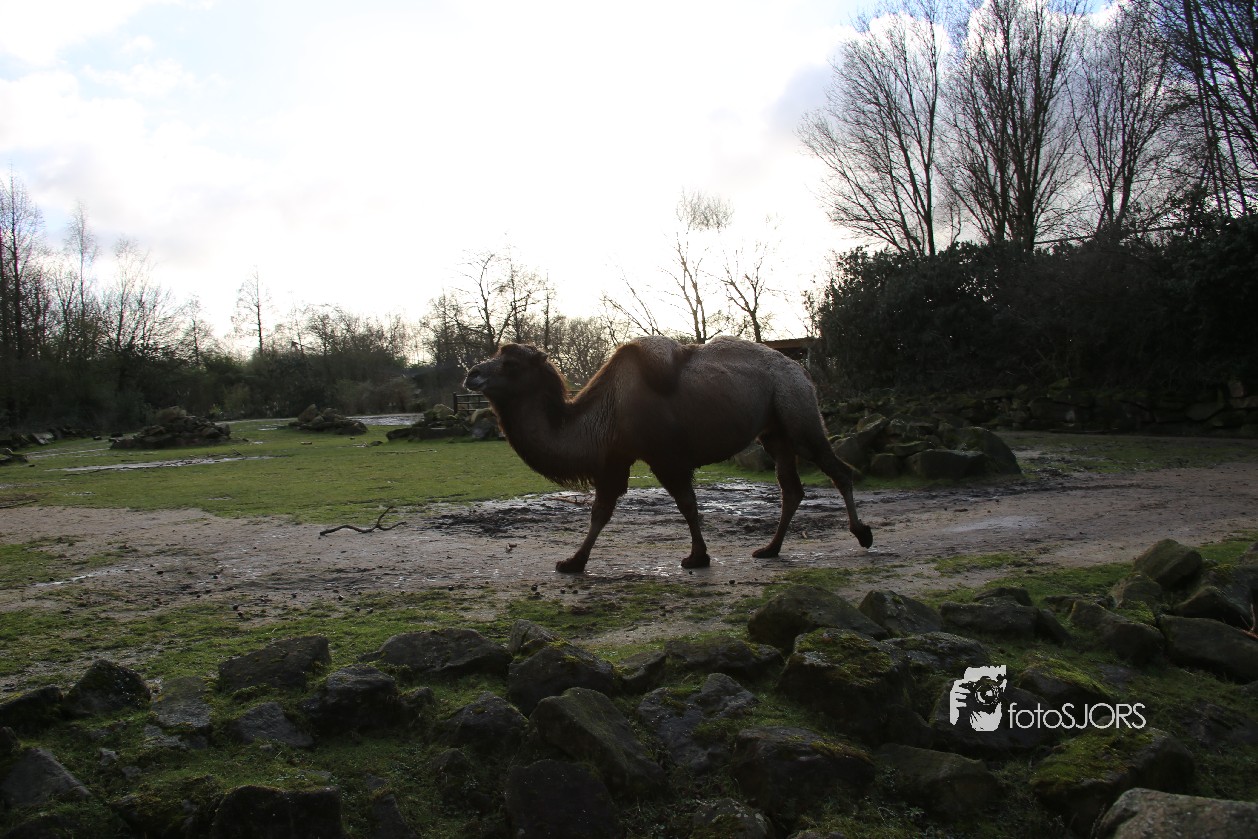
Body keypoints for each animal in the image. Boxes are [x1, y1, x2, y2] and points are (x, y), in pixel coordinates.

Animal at [462, 335, 873, 573]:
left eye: (510, 364)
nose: (472, 374)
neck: (606, 414)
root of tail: (800, 369)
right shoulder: (616, 460)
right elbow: (601, 512)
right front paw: (574, 561)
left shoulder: (663, 457)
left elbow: (686, 504)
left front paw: (697, 557)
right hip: (773, 431)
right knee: (791, 487)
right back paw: (769, 550)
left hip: (797, 411)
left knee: (837, 469)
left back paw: (863, 534)